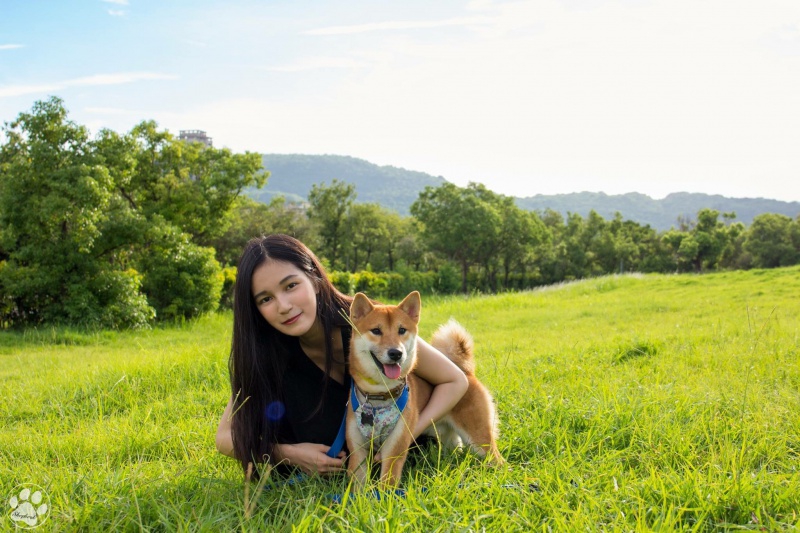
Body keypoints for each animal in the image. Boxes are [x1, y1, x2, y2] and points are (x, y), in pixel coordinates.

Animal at [345, 290, 504, 489]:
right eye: (376, 331)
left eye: (402, 330)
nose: (396, 353)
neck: (379, 395)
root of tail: (466, 372)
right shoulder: (357, 451)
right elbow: (357, 487)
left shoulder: (394, 449)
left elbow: (386, 486)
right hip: (448, 437)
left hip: (479, 439)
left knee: (497, 459)